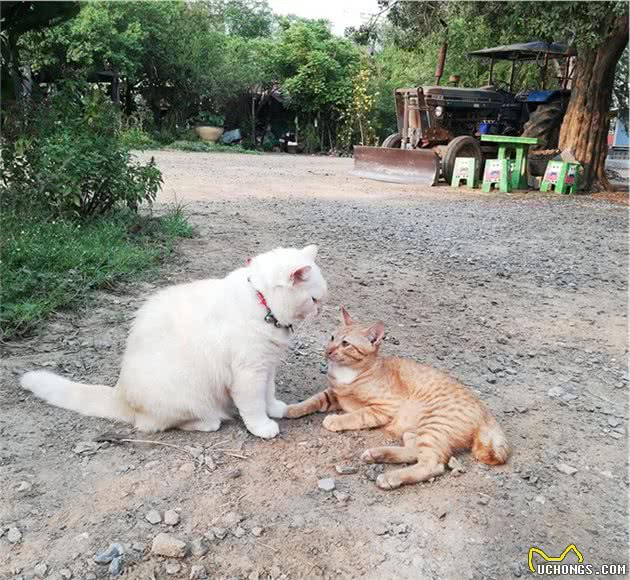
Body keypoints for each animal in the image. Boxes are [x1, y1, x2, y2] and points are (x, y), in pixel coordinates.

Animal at [22, 245, 328, 440]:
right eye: (314, 299)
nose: (321, 309)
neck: (263, 304)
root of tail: (120, 391)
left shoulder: (268, 367)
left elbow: (269, 393)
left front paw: (275, 409)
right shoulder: (249, 373)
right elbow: (253, 405)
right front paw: (263, 426)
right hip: (189, 395)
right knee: (156, 424)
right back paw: (210, 421)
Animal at [288, 308, 512, 490]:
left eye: (345, 344)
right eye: (332, 337)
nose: (328, 351)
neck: (346, 374)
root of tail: (487, 414)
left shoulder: (384, 407)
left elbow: (358, 414)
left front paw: (336, 419)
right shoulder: (334, 394)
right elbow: (313, 400)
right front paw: (291, 409)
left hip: (433, 425)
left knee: (433, 463)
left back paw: (390, 477)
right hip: (414, 431)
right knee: (415, 451)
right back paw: (377, 454)